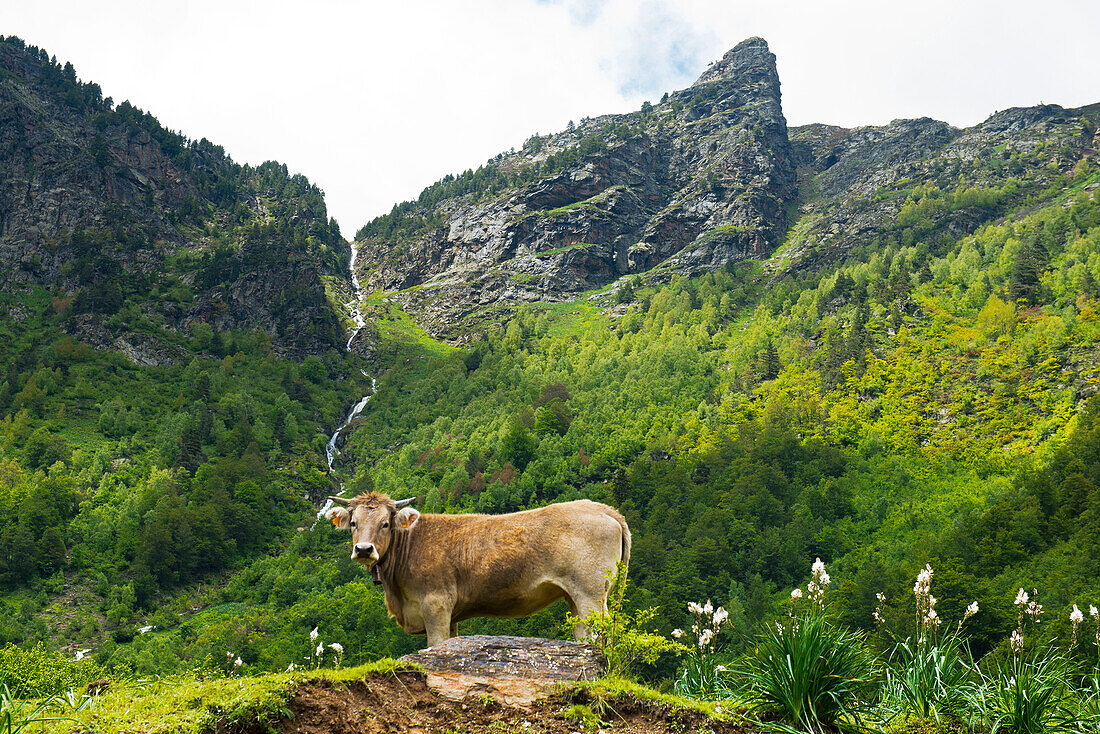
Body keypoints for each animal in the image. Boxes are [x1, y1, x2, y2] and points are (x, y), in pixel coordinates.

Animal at [325, 493, 633, 647]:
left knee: (598, 632)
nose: (364, 549)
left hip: (591, 593)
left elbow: (436, 644)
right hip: (575, 595)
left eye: (385, 523)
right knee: (583, 632)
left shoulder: (435, 603)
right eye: (353, 523)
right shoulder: (449, 612)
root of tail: (603, 508)